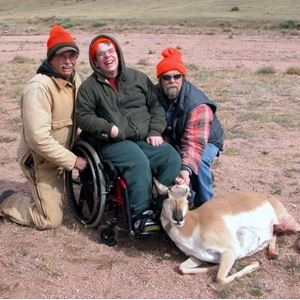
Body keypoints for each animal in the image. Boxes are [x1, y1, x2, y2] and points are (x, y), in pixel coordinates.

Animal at [155, 180, 300, 284]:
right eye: (167, 195)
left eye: (187, 195)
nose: (178, 218)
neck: (195, 223)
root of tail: (267, 195)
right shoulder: (197, 256)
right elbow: (182, 268)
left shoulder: (230, 251)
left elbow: (220, 279)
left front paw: (256, 263)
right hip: (277, 227)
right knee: (274, 234)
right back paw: (273, 253)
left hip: (285, 221)